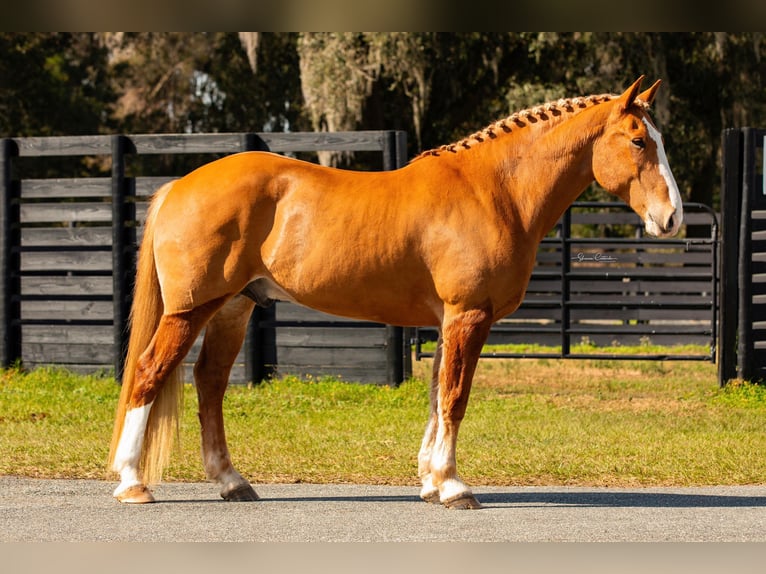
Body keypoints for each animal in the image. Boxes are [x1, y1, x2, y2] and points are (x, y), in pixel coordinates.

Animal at [108, 75, 684, 508]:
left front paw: (431, 482)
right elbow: (454, 397)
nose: (672, 217)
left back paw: (232, 482)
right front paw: (454, 487)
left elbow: (436, 396)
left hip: (234, 307)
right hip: (191, 309)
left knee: (209, 385)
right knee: (149, 372)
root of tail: (179, 186)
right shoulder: (468, 316)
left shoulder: (448, 321)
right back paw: (132, 482)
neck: (493, 191)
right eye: (638, 139)